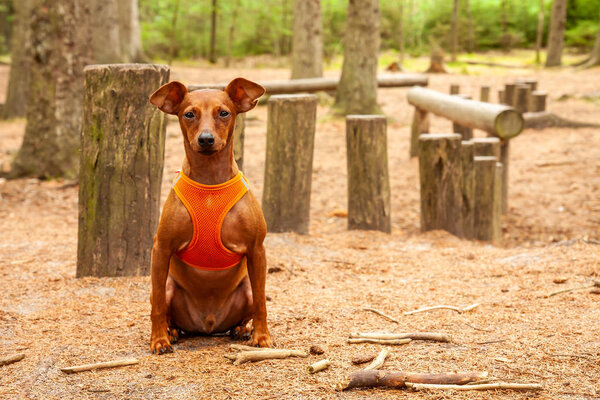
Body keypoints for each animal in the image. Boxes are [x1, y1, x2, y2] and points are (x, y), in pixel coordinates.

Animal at [148, 77, 272, 354]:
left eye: (223, 113)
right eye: (189, 114)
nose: (206, 139)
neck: (210, 185)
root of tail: (208, 325)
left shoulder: (256, 249)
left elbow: (261, 301)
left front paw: (262, 336)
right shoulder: (161, 249)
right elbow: (157, 304)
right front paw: (158, 339)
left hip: (246, 290)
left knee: (250, 304)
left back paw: (241, 329)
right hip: (170, 287)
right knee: (164, 305)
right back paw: (172, 332)